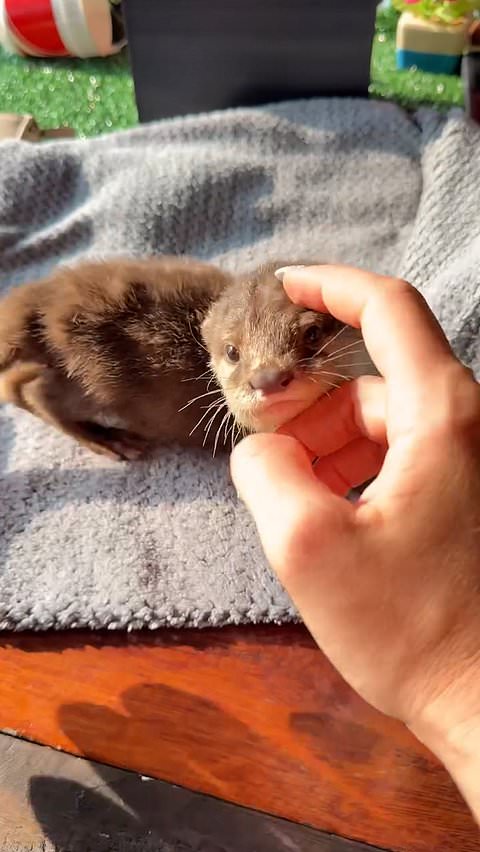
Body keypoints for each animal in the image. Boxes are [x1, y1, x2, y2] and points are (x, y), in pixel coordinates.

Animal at [0, 257, 374, 459]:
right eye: (232, 351)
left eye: (312, 333)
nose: (267, 378)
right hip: (90, 375)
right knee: (28, 391)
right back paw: (110, 440)